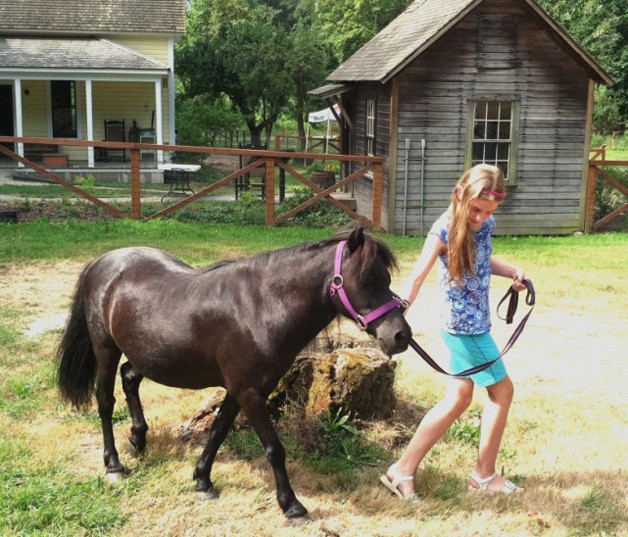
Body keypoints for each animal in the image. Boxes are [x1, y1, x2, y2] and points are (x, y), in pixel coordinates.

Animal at [56, 225, 412, 516]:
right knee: (105, 400)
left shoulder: (241, 389)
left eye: (387, 279)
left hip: (147, 354)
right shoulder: (249, 392)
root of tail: (103, 262)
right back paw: (114, 464)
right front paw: (291, 504)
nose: (400, 336)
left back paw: (138, 437)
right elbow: (274, 448)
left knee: (129, 377)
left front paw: (202, 480)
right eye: (367, 279)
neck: (261, 308)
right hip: (105, 348)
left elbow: (218, 430)